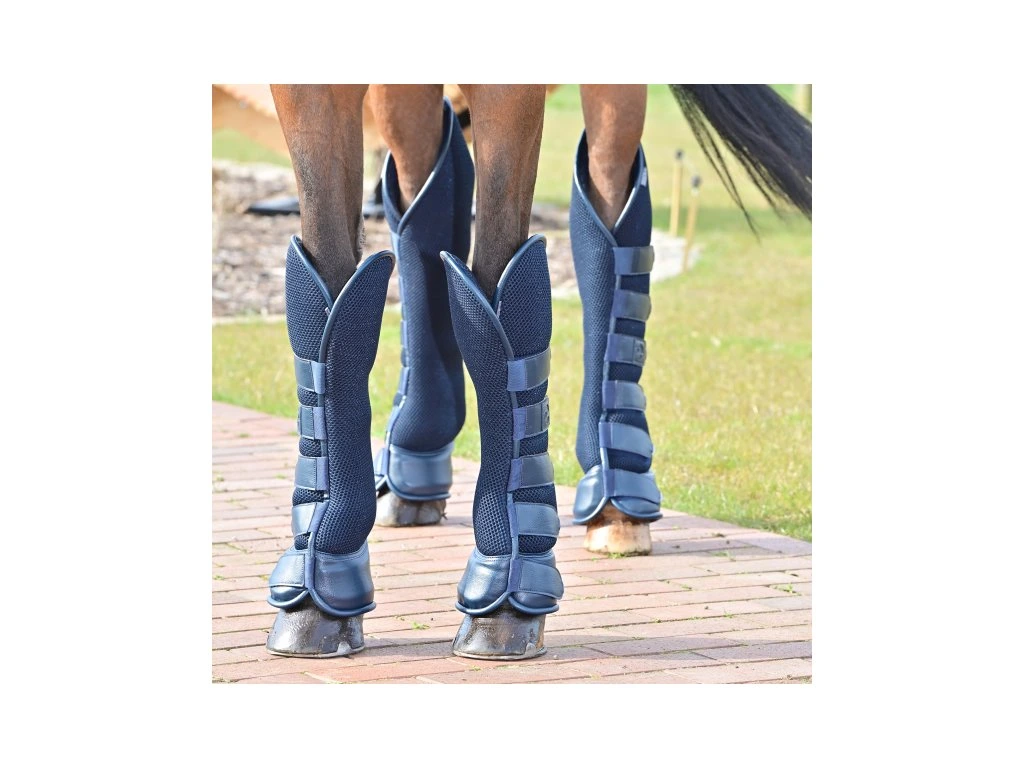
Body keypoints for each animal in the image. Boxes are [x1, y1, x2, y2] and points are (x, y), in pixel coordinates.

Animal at [262, 84, 811, 660]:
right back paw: (413, 463)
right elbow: (332, 290)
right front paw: (316, 593)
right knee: (423, 195)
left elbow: (498, 289)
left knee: (608, 217)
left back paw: (615, 489)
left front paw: (505, 598)